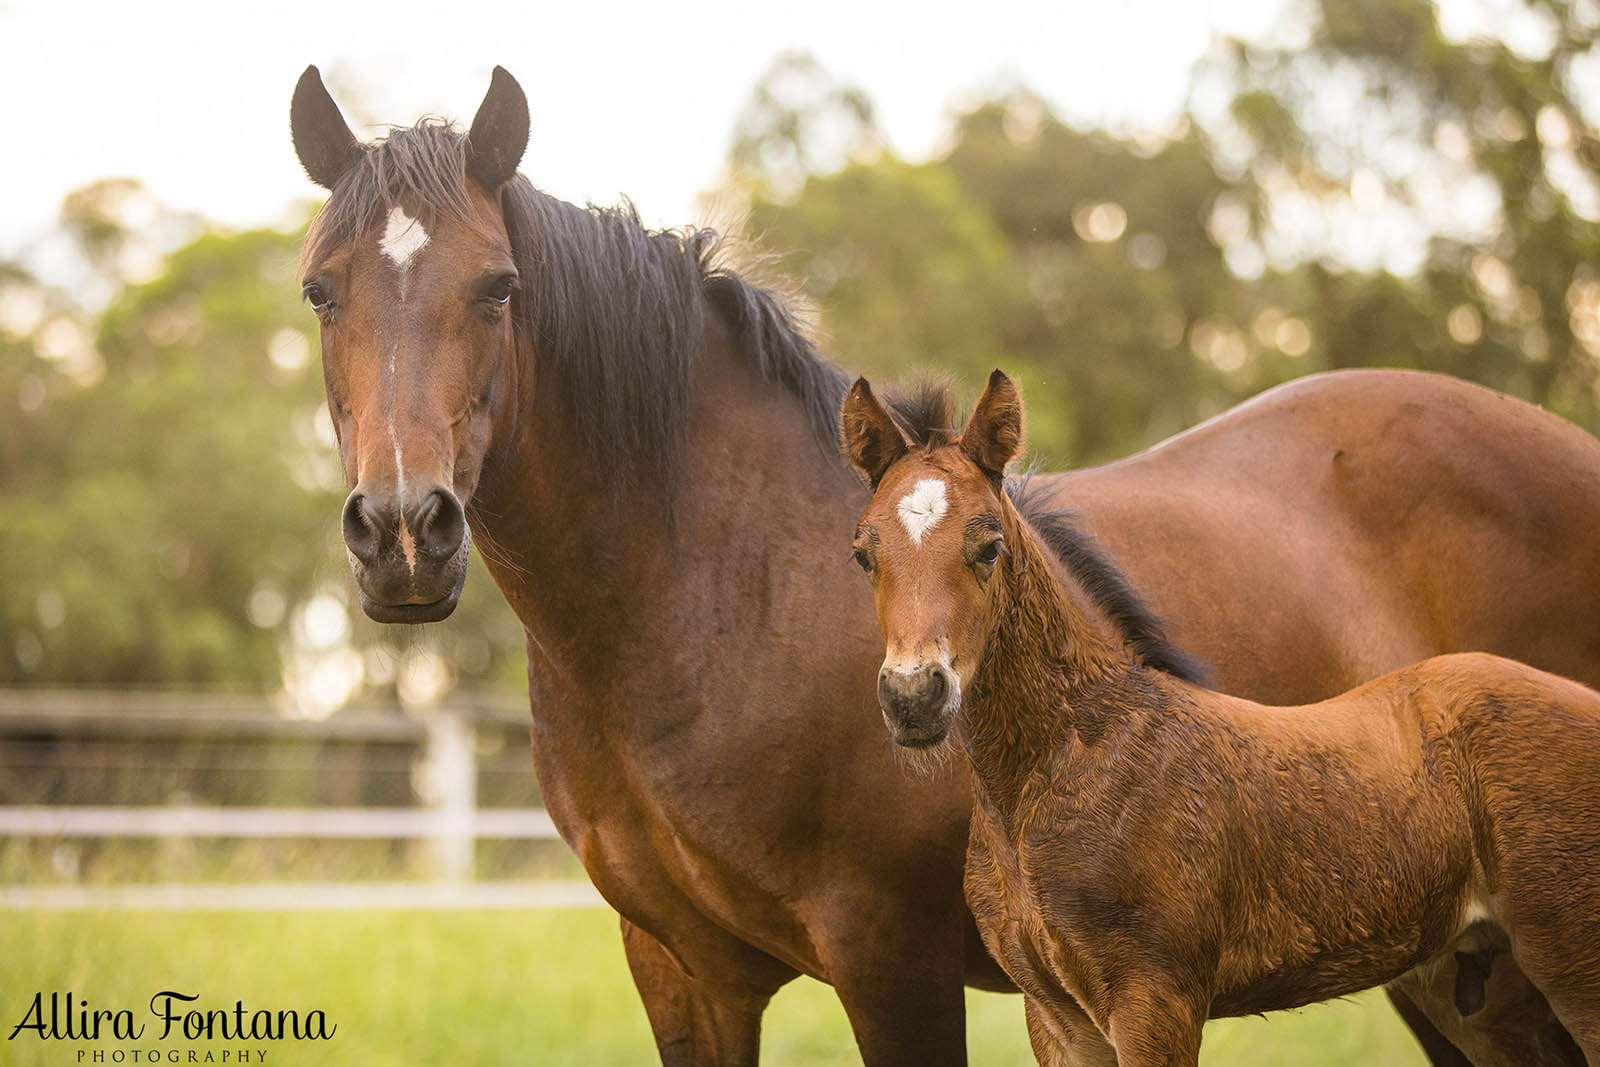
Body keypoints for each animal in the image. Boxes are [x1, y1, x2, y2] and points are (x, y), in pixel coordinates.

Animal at [838, 369, 1600, 1067]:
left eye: (989, 547)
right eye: (863, 554)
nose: (914, 695)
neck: (1078, 754)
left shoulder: (1157, 1001)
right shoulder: (1056, 1017)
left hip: (1572, 961)